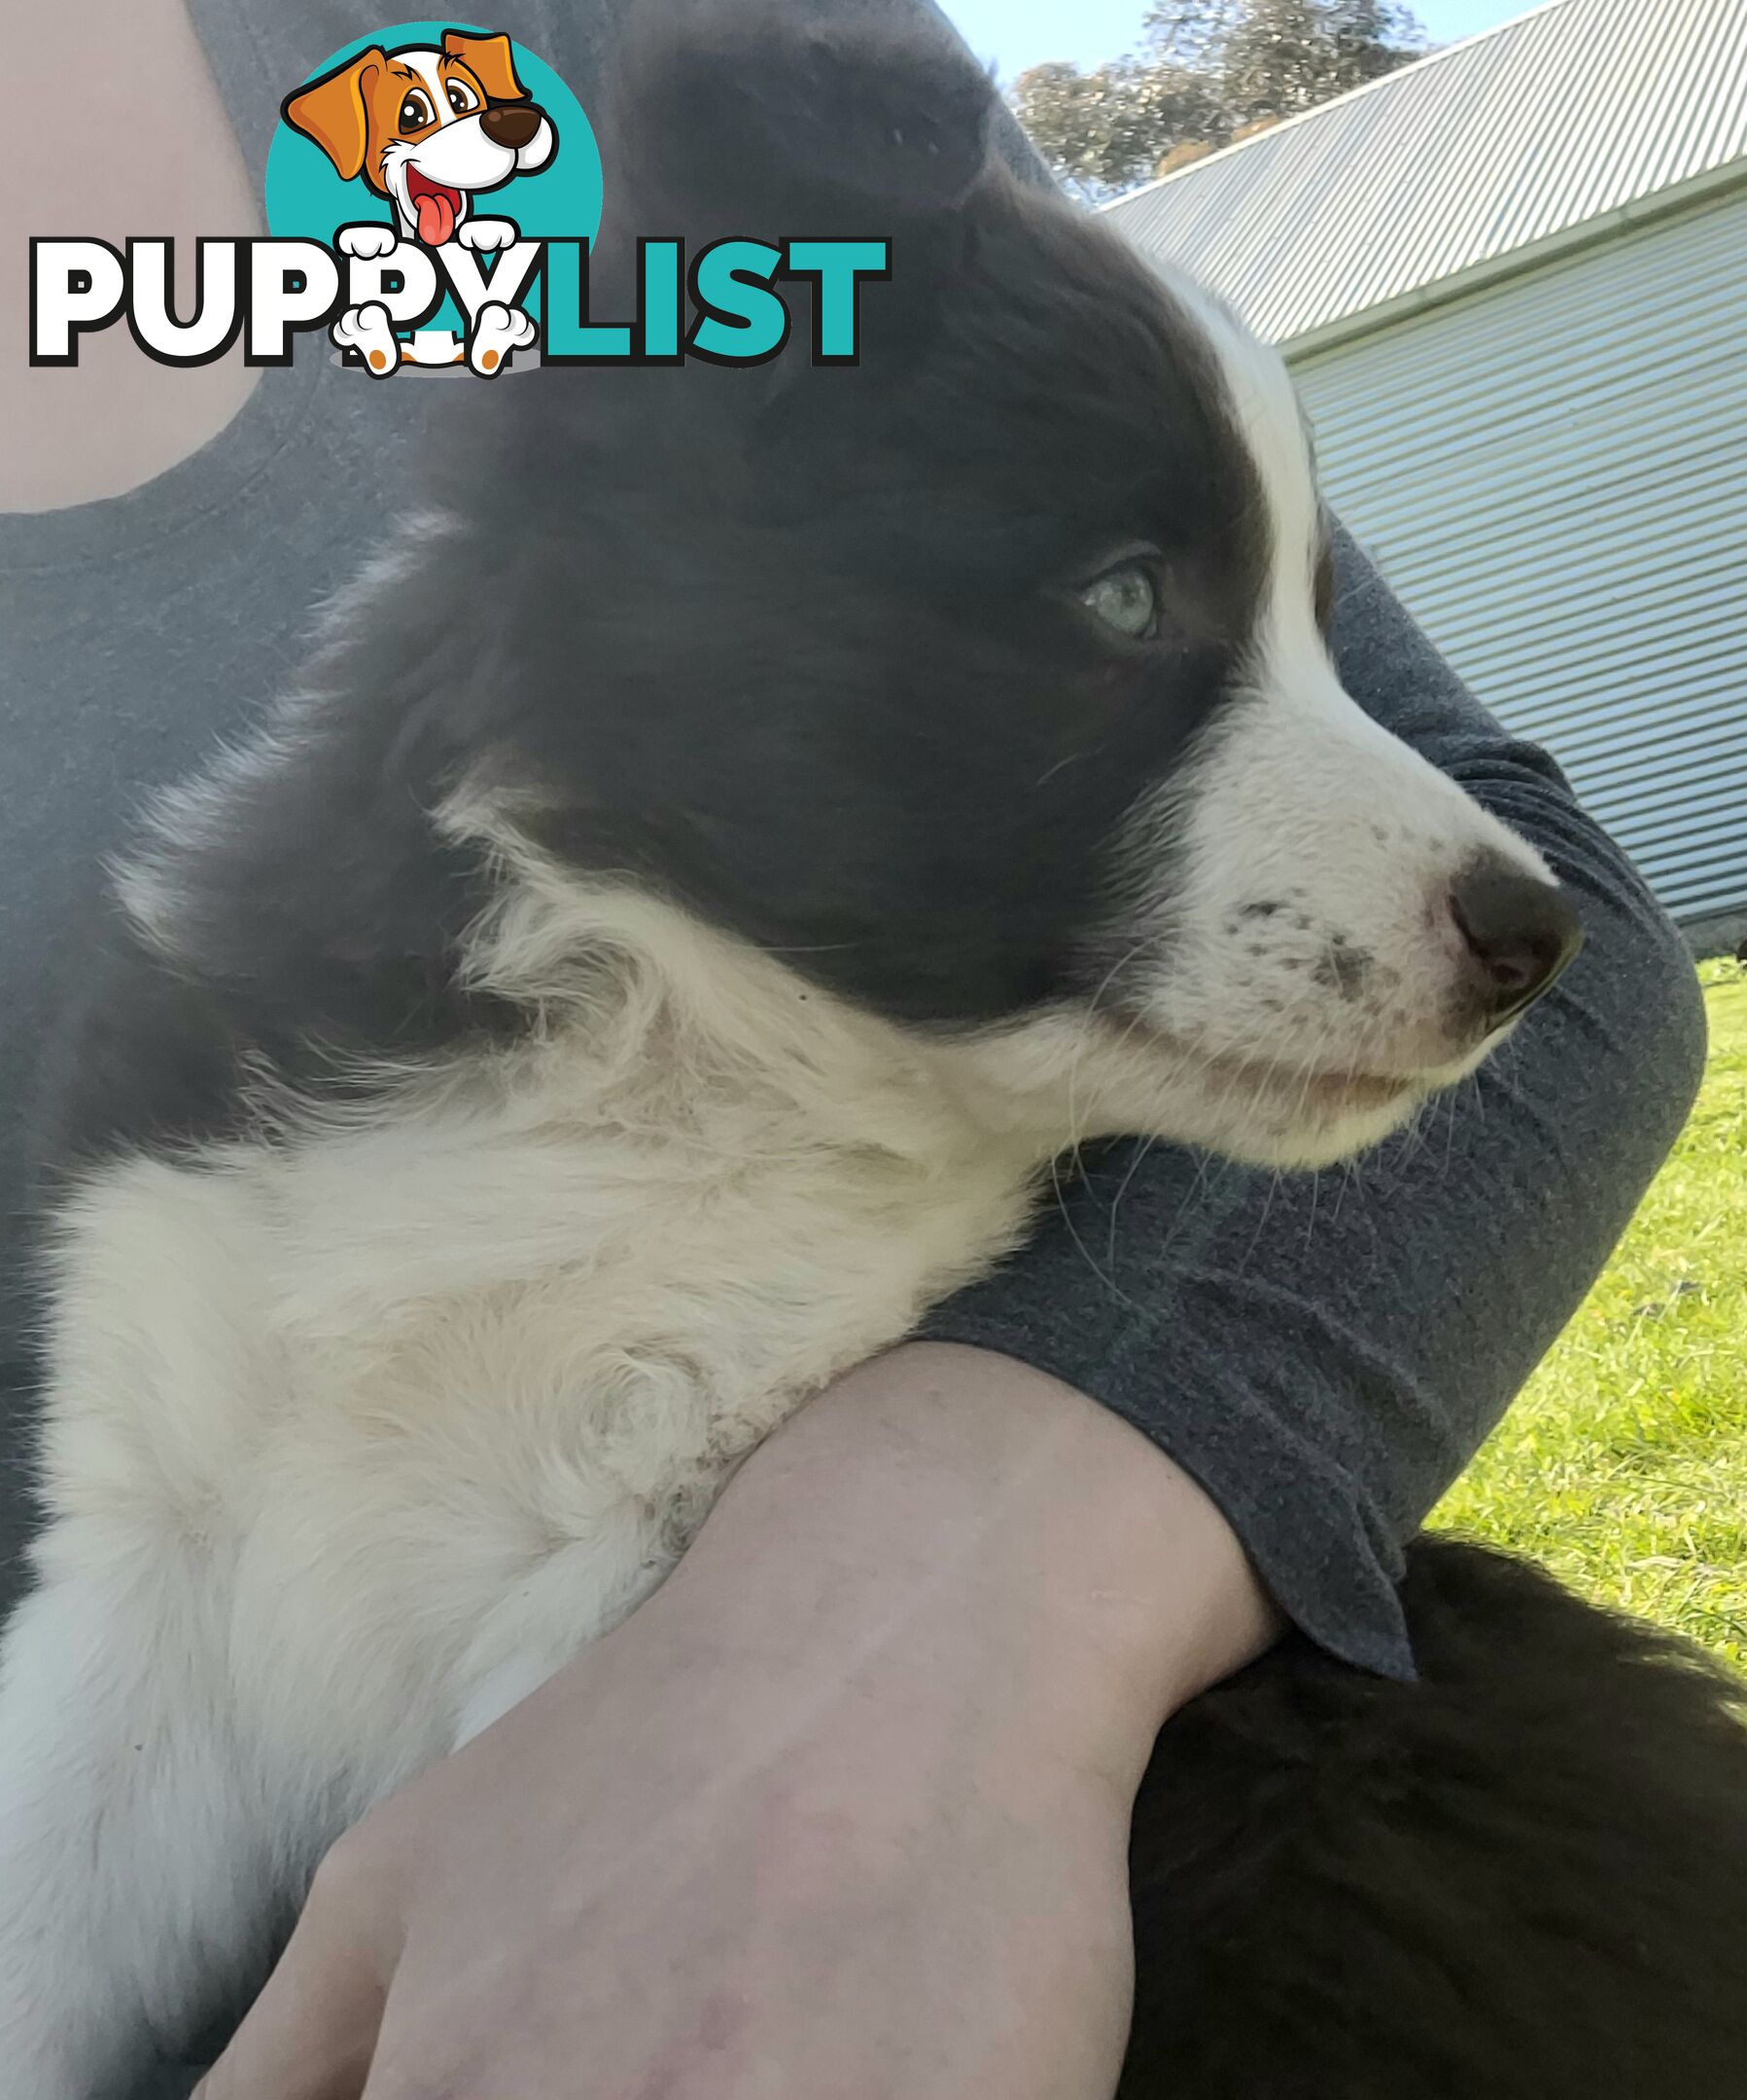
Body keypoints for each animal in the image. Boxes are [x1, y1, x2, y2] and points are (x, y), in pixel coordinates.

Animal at [3, 8, 1730, 2091]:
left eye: (1318, 626)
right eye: (1122, 596)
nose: (1533, 939)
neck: (671, 1069)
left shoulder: (615, 1591)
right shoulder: (150, 1568)